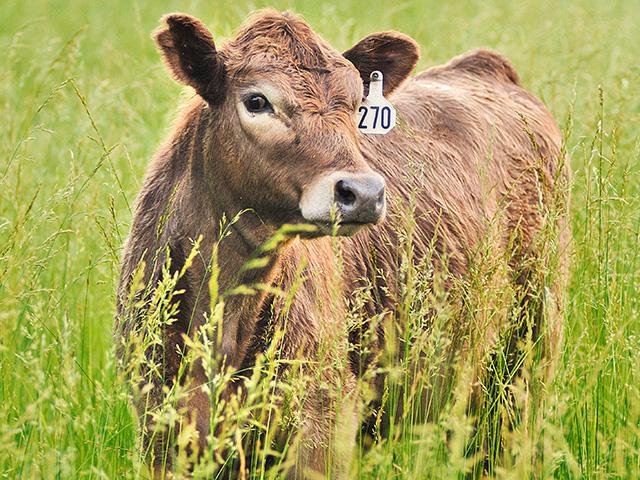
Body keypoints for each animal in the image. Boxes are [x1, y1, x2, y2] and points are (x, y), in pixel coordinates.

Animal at [112, 8, 568, 480]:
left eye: (354, 105)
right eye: (256, 101)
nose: (364, 193)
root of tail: (482, 67)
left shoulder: (322, 426)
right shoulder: (159, 430)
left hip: (529, 347)